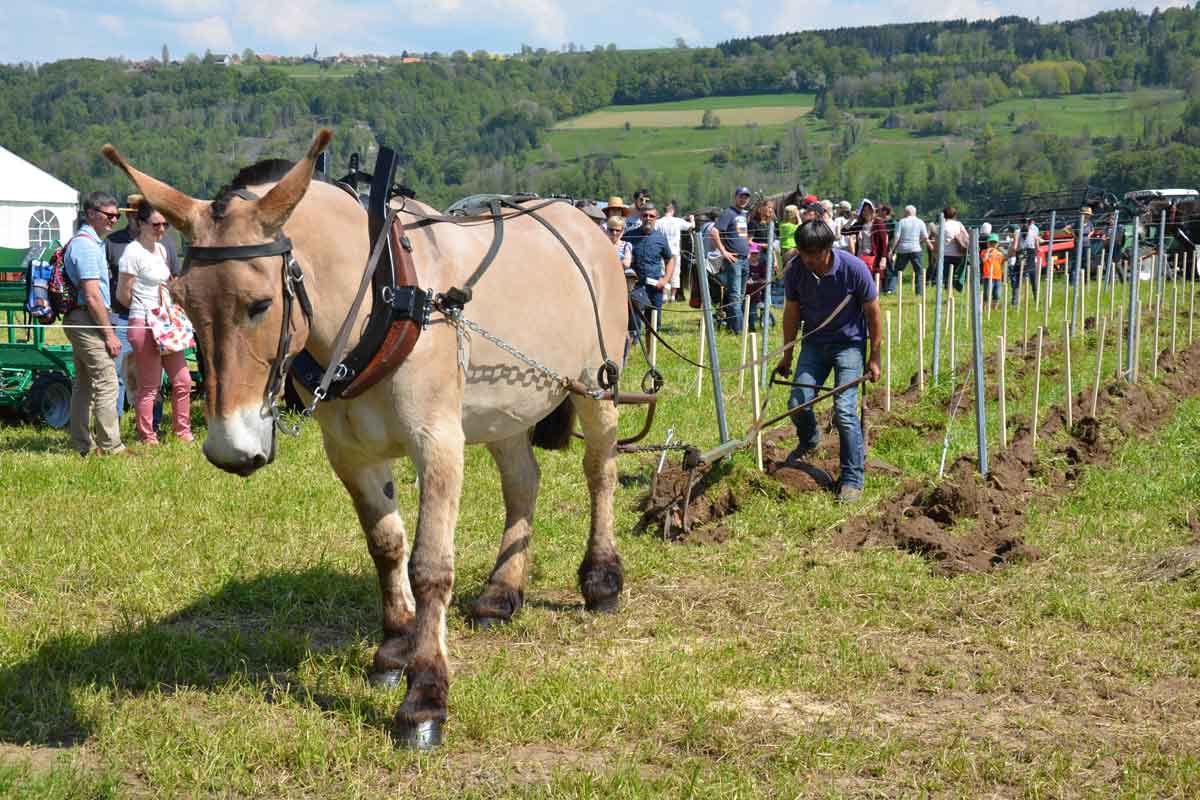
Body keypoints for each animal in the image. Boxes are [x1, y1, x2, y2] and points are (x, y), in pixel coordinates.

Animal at [104, 131, 633, 753]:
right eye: (182, 300)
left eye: (260, 304)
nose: (230, 448)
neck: (384, 294)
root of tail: (583, 221)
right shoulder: (351, 452)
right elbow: (386, 546)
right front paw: (395, 649)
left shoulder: (439, 442)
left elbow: (430, 566)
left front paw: (425, 695)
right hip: (504, 408)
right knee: (523, 481)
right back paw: (501, 593)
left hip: (597, 385)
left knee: (600, 471)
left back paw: (601, 579)